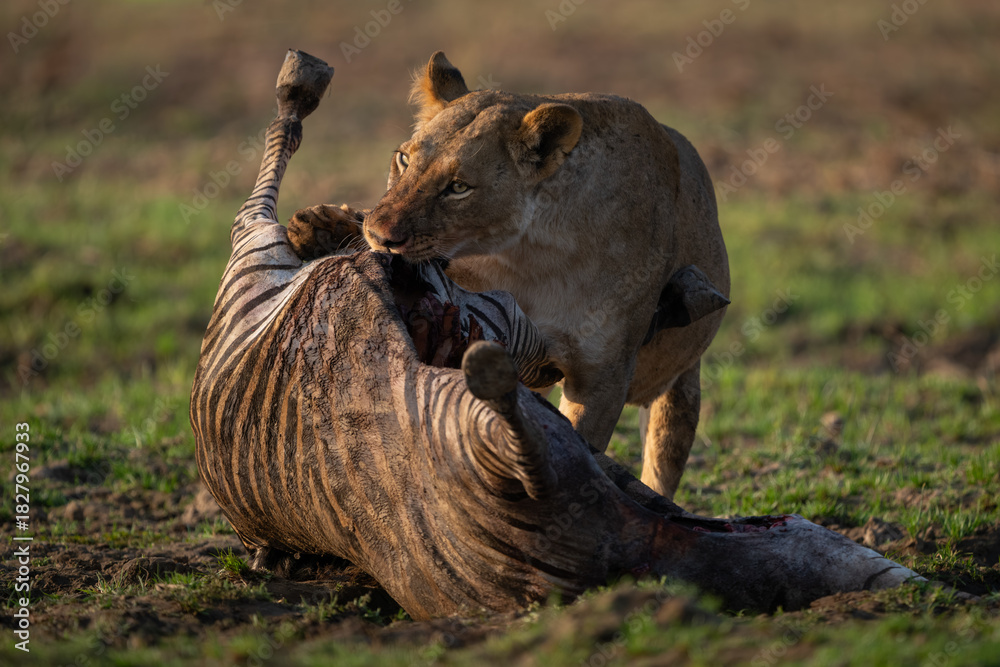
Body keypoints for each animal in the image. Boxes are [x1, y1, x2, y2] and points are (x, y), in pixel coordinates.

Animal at [294, 52, 729, 498]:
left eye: (458, 187)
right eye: (403, 159)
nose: (379, 236)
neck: (526, 257)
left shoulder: (601, 377)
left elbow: (579, 443)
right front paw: (322, 228)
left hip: (680, 387)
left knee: (665, 451)